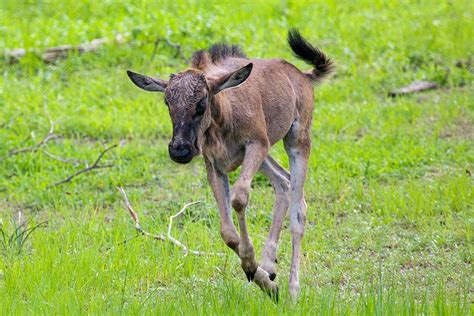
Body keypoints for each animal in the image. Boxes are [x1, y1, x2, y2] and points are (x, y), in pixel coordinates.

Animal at [126, 29, 334, 302]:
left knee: (299, 210)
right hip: (266, 156)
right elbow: (227, 232)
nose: (180, 150)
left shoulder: (256, 144)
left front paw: (253, 267)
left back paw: (293, 290)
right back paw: (269, 266)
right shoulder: (215, 164)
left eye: (202, 103)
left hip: (297, 140)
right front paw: (263, 280)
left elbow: (239, 197)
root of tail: (304, 77)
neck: (223, 117)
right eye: (167, 103)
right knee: (283, 181)